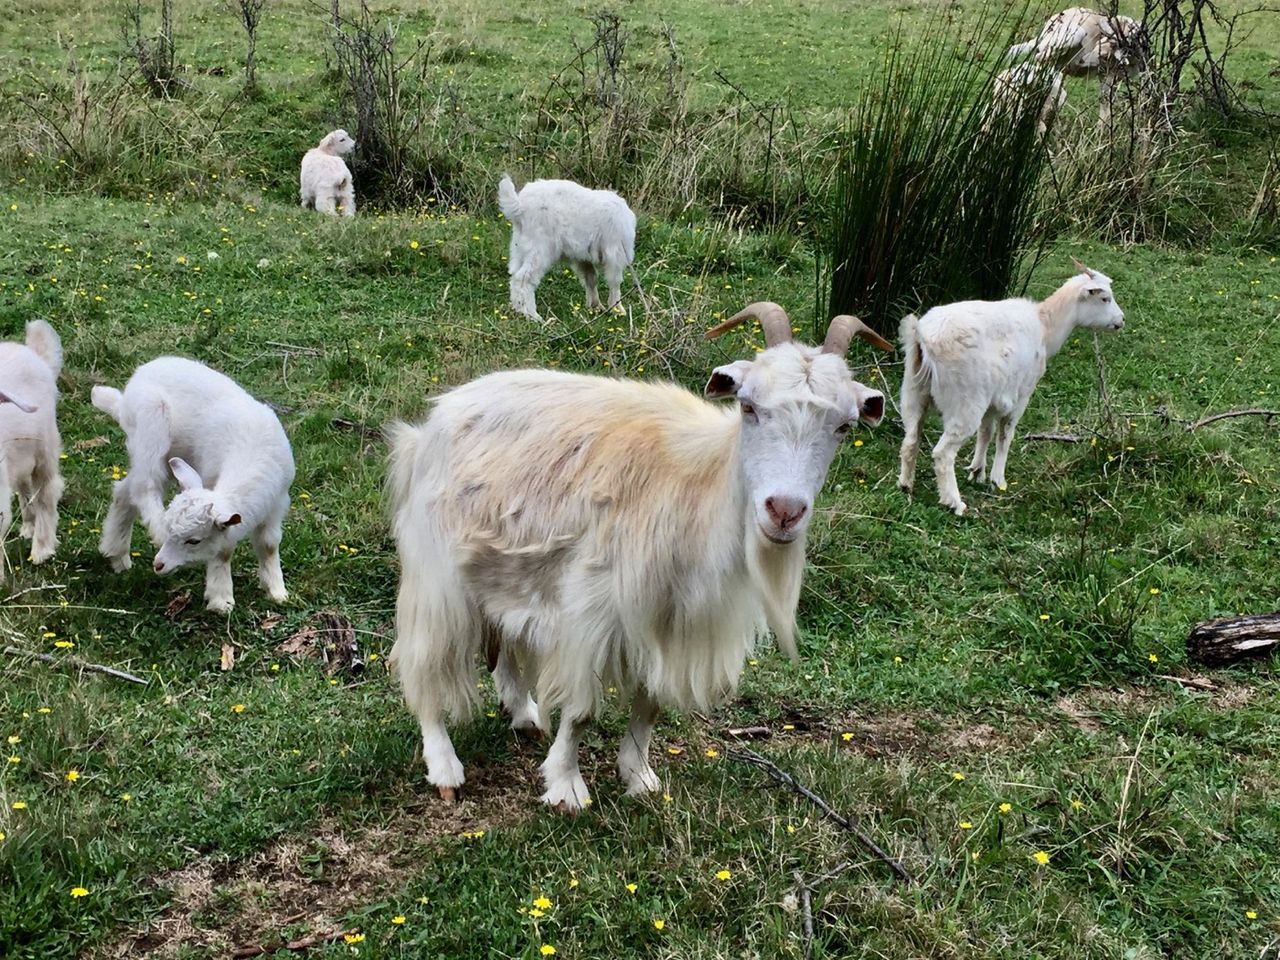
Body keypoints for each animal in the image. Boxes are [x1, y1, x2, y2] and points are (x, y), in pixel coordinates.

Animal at [386, 302, 890, 814]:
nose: (784, 511)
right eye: (749, 407)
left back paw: (524, 715)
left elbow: (650, 703)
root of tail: (430, 424)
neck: (698, 482)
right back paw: (445, 768)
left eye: (843, 426)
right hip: (436, 575)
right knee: (422, 661)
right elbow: (582, 710)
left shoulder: (671, 622)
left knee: (502, 638)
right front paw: (567, 788)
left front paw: (639, 777)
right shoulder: (594, 610)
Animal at [896, 259, 1126, 519]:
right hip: (965, 401)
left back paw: (905, 484)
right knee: (942, 454)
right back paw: (954, 502)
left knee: (910, 440)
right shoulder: (1021, 395)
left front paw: (977, 471)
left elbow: (986, 432)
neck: (1046, 326)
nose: (1121, 320)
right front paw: (998, 480)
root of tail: (921, 337)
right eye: (1105, 298)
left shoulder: (992, 399)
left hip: (914, 391)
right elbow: (1005, 435)